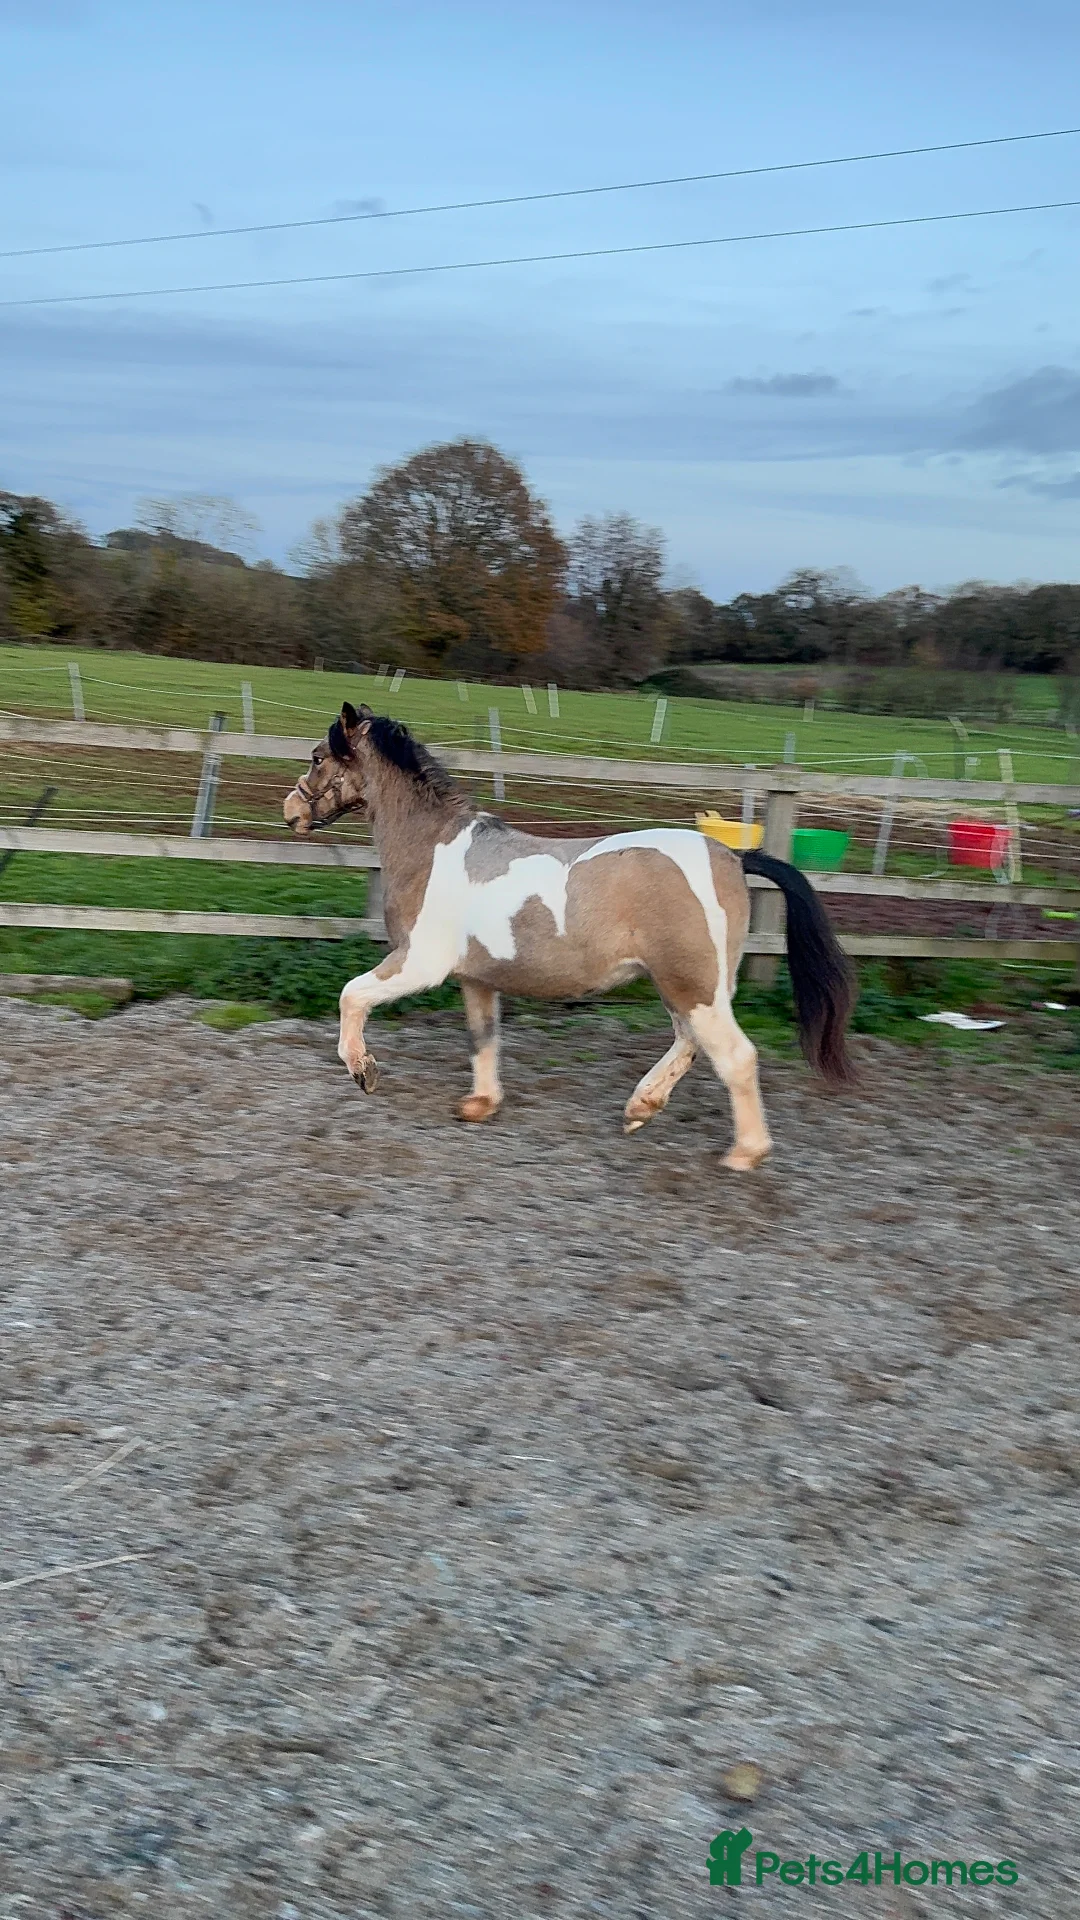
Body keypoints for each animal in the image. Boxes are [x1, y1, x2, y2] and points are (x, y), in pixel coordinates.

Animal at [283, 702, 855, 1169]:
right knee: (690, 1043)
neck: (431, 849)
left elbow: (351, 995)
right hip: (691, 986)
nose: (291, 811)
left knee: (734, 1056)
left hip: (692, 985)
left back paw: (744, 1153)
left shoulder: (419, 961)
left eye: (317, 758)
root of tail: (733, 858)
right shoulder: (477, 978)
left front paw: (362, 1070)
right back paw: (641, 1107)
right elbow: (483, 1038)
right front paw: (480, 1105)